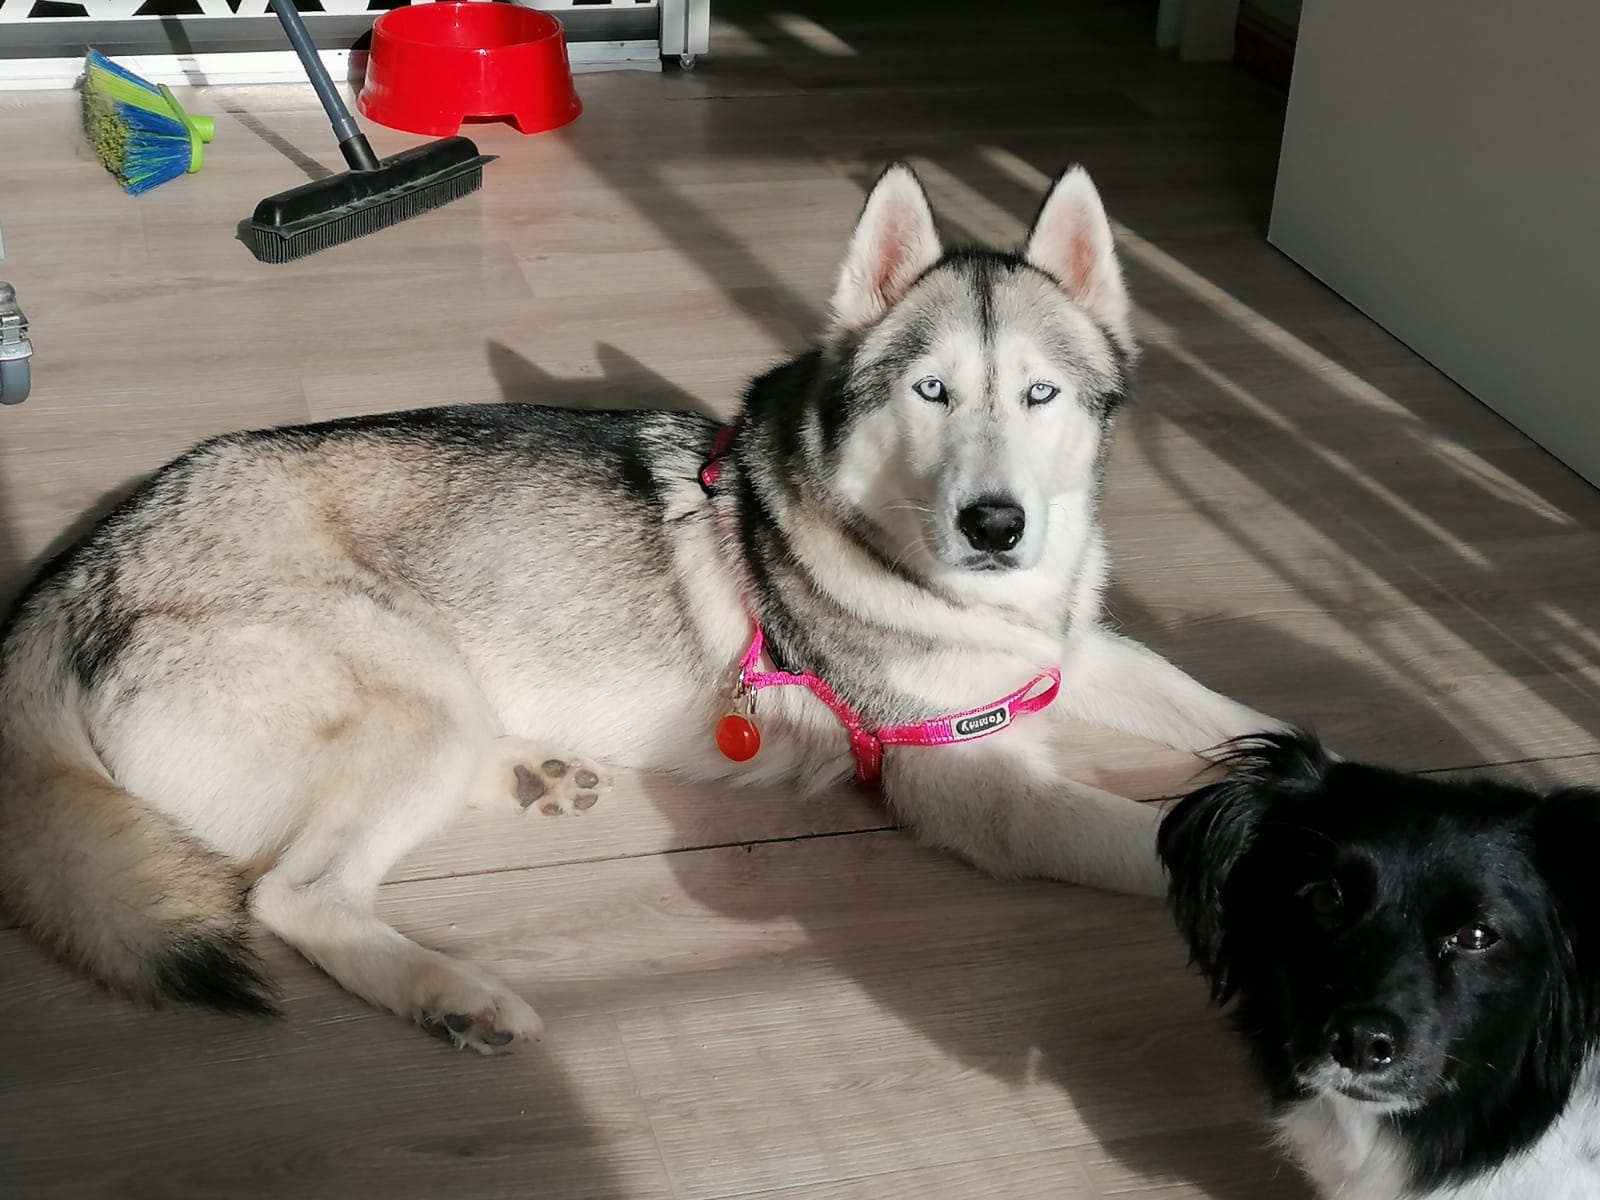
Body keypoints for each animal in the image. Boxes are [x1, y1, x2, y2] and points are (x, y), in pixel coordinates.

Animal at [0, 162, 1279, 1053]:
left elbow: (1235, 715)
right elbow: (1157, 840)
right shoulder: (984, 791)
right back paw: (451, 993)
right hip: (416, 681)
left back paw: (533, 778)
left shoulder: (1080, 652)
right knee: (293, 895)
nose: (995, 526)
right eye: (930, 391)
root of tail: (91, 557)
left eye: (1040, 394)